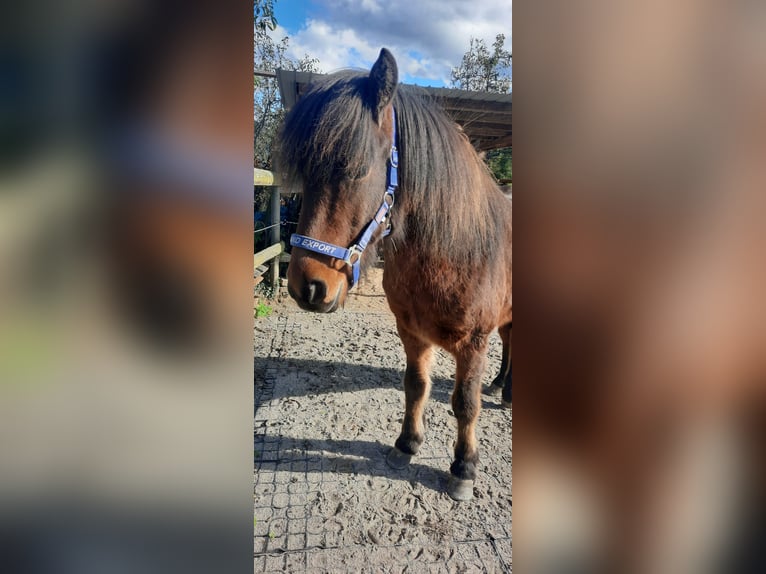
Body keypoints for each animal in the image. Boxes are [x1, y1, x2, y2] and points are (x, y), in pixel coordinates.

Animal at [280, 48, 512, 500]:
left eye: (355, 169)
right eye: (305, 174)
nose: (307, 287)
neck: (454, 250)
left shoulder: (475, 343)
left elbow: (465, 403)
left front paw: (464, 469)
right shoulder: (411, 331)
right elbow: (415, 385)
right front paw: (406, 445)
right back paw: (500, 386)